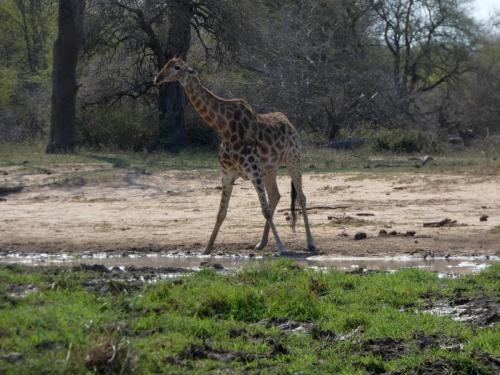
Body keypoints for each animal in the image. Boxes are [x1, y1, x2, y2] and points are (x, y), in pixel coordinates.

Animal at [153, 58, 316, 256]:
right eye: (166, 65)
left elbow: (265, 210)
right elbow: (221, 213)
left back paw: (311, 243)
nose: (157, 78)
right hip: (270, 169)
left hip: (294, 160)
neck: (224, 129)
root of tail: (290, 124)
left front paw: (282, 247)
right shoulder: (227, 174)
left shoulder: (253, 171)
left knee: (301, 197)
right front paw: (206, 249)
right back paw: (261, 243)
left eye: (177, 67)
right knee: (275, 195)